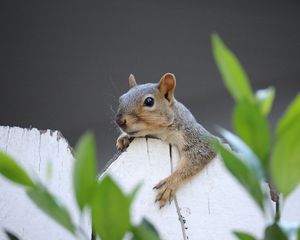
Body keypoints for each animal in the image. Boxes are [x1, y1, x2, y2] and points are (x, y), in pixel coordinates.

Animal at [115, 72, 216, 208]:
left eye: (149, 101)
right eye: (121, 99)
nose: (119, 121)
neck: (160, 132)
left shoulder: (193, 135)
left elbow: (199, 155)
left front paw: (169, 184)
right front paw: (123, 137)